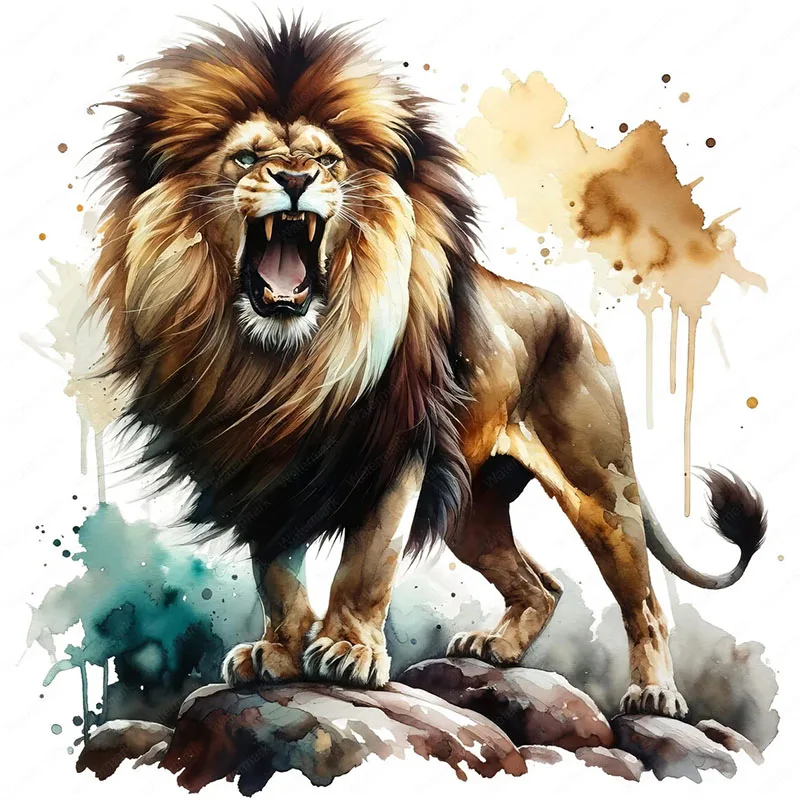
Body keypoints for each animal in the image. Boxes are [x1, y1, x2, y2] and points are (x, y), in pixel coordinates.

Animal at [90, 16, 766, 718]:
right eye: (246, 159)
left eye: (326, 161)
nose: (296, 180)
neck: (283, 364)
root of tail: (576, 319)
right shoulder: (261, 472)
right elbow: (276, 575)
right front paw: (276, 654)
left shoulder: (397, 456)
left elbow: (367, 563)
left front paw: (348, 653)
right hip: (471, 512)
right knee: (543, 585)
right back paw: (496, 649)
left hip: (602, 492)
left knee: (646, 600)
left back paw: (655, 693)